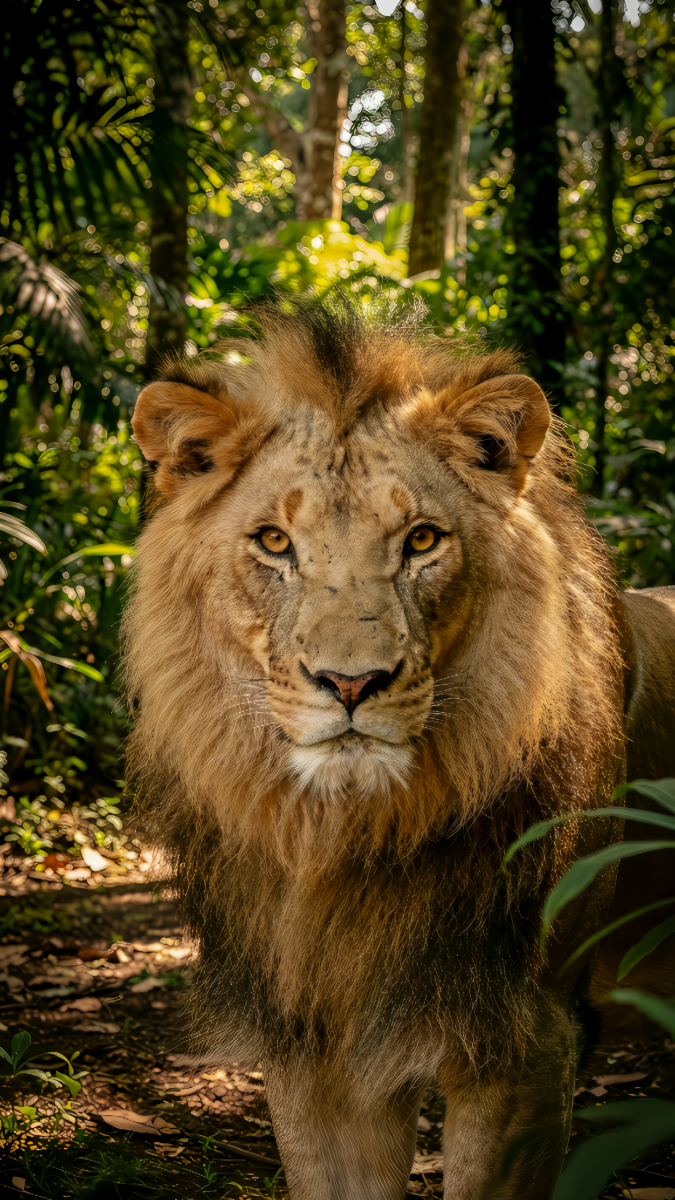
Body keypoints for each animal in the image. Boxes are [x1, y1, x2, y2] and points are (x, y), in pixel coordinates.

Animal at [125, 297, 675, 1200]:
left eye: (420, 541)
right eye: (273, 542)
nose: (351, 683)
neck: (351, 840)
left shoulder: (526, 1041)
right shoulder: (309, 1049)